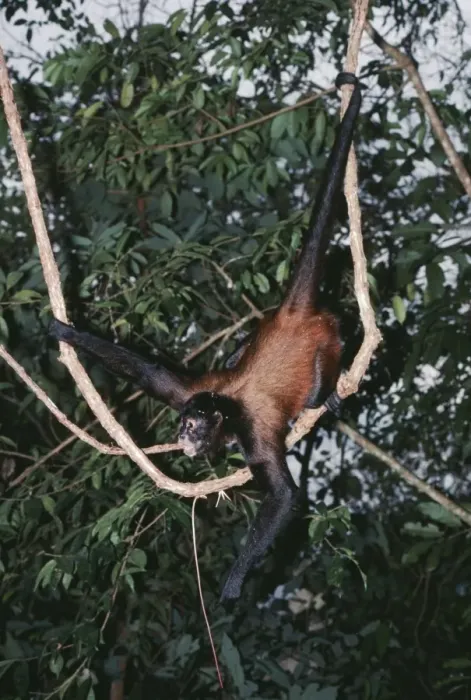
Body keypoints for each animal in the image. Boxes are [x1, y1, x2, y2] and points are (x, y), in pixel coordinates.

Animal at [49, 72, 361, 601]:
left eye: (193, 427)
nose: (182, 438)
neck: (225, 406)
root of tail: (292, 314)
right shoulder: (189, 392)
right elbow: (153, 373)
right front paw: (64, 329)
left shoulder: (252, 427)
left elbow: (284, 496)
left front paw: (234, 583)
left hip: (327, 336)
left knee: (335, 346)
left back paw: (325, 394)